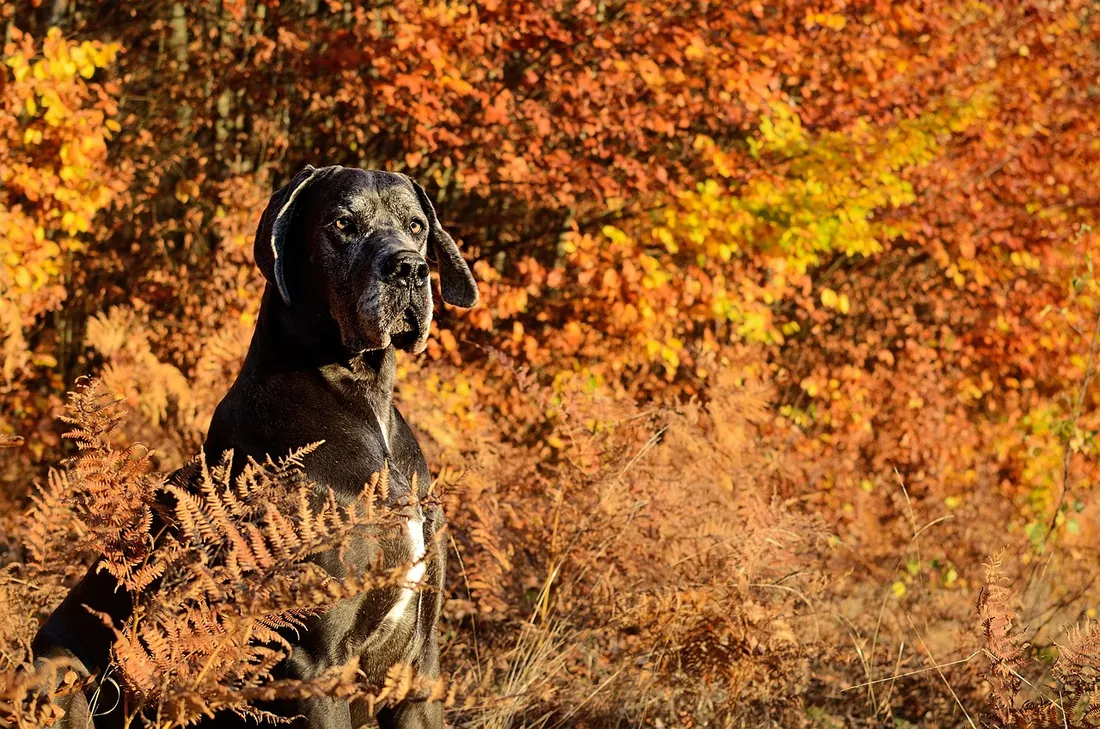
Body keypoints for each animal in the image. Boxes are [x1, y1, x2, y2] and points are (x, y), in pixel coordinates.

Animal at [29, 167, 477, 729]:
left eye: (416, 225)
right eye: (342, 223)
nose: (410, 269)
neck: (362, 399)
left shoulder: (418, 664)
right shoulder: (313, 663)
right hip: (57, 669)